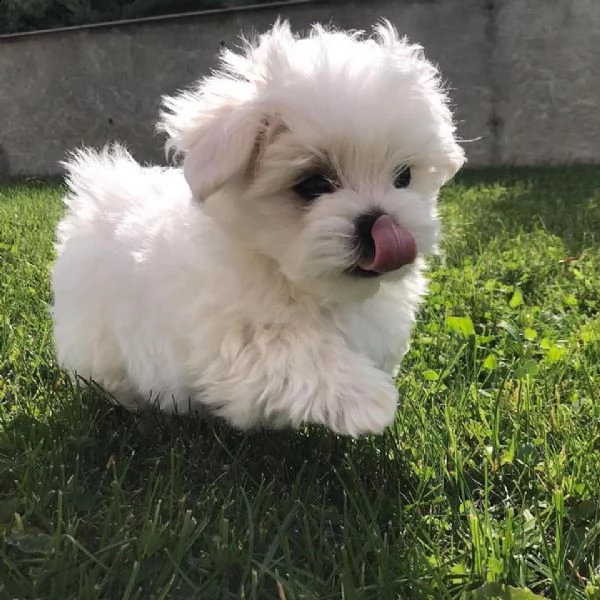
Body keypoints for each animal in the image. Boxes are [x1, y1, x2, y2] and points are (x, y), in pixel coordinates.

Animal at [50, 19, 464, 436]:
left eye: (404, 176)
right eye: (312, 184)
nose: (383, 222)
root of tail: (99, 196)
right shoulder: (228, 336)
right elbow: (287, 350)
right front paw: (368, 400)